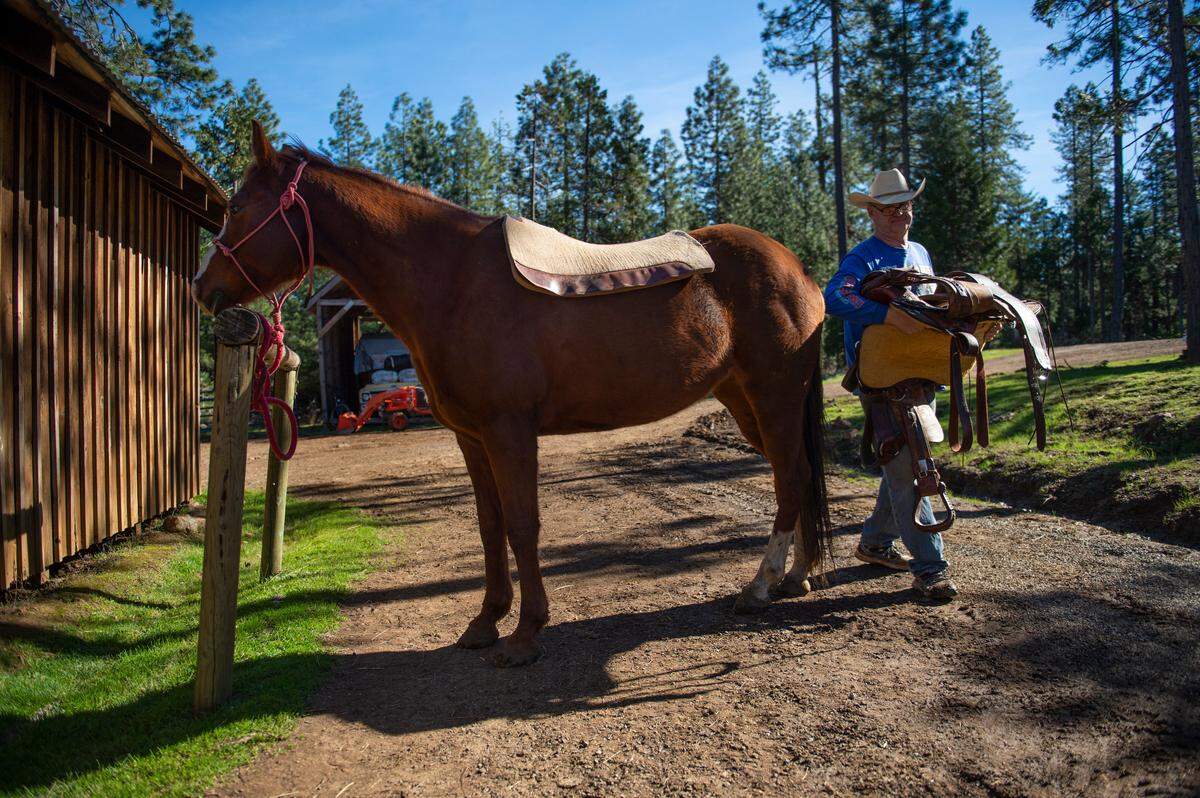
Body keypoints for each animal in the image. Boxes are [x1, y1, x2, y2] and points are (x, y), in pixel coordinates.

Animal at [192, 121, 832, 667]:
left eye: (237, 208)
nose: (201, 288)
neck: (451, 282)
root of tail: (798, 269)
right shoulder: (472, 437)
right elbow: (490, 524)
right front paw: (485, 623)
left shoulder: (509, 431)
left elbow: (524, 524)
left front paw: (526, 634)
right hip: (746, 403)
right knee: (795, 474)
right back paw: (795, 576)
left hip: (773, 396)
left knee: (790, 477)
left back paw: (759, 586)